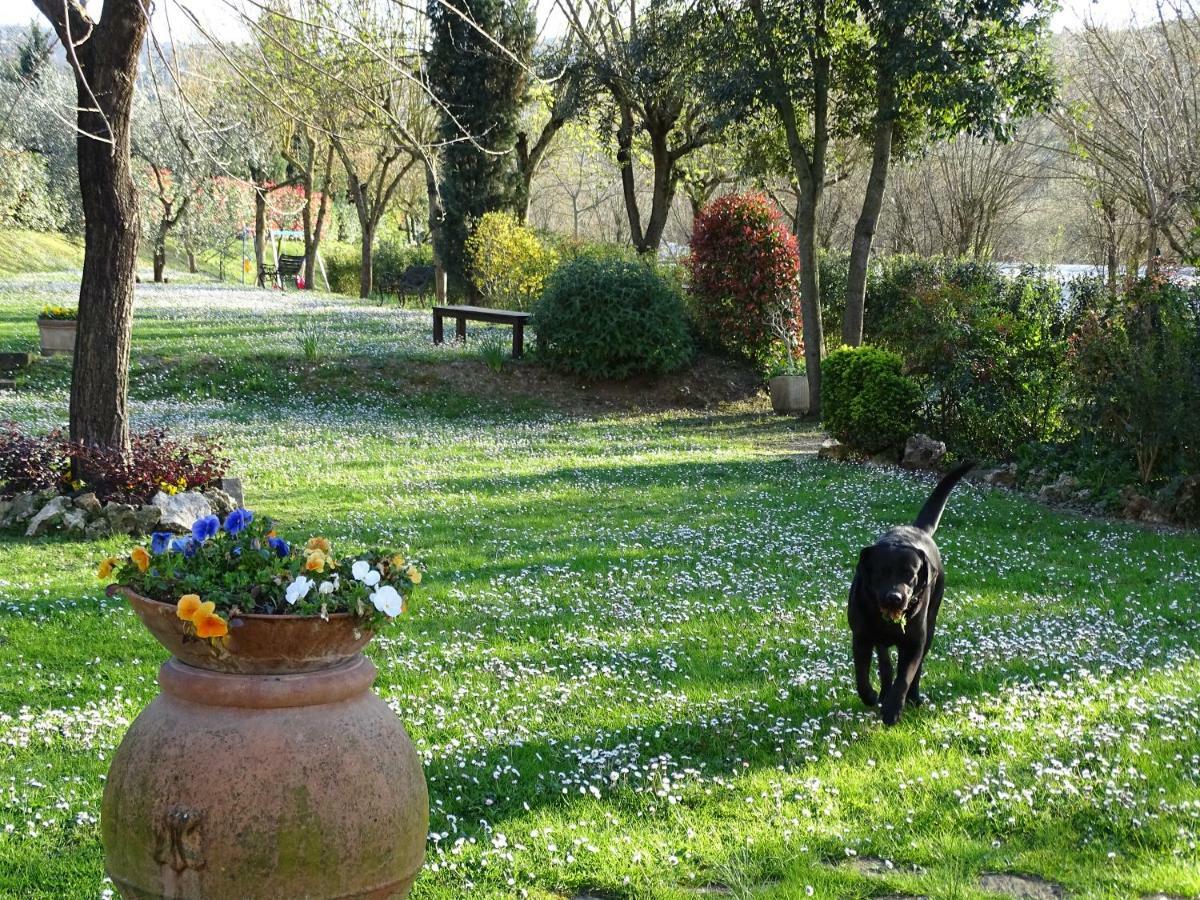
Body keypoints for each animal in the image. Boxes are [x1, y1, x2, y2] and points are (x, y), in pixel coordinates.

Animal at [849, 460, 969, 729]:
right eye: (881, 572)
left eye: (910, 574)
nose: (895, 597)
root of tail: (917, 529)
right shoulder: (861, 637)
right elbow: (862, 674)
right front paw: (871, 695)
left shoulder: (914, 642)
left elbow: (905, 677)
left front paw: (893, 709)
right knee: (885, 663)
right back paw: (883, 691)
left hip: (931, 624)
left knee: (916, 670)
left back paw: (913, 697)